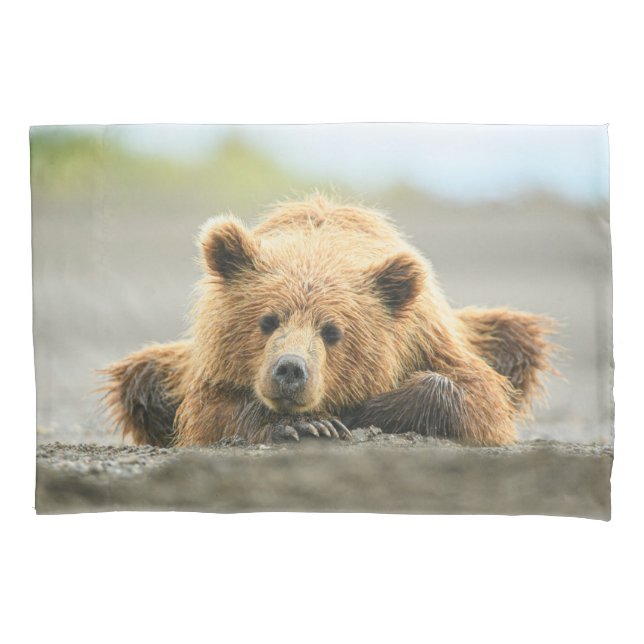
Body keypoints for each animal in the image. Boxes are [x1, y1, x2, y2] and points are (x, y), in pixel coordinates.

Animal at [101, 195, 558, 447]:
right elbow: (208, 413)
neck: (319, 246)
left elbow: (478, 397)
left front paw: (361, 412)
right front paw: (307, 425)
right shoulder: (208, 367)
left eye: (333, 331)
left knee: (518, 338)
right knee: (141, 377)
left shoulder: (428, 338)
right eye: (267, 320)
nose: (290, 369)